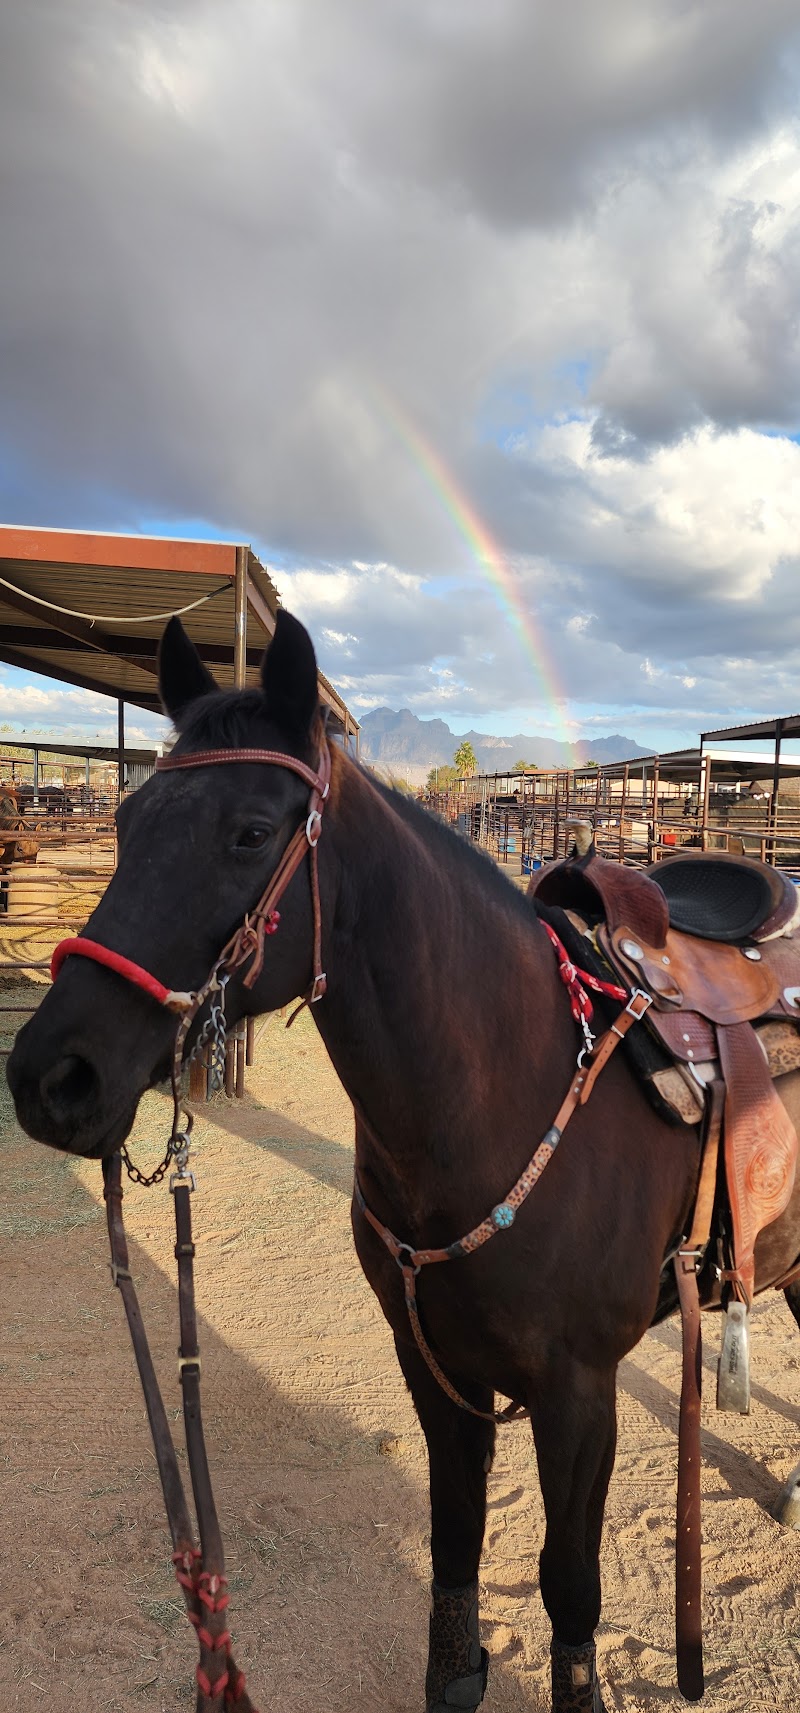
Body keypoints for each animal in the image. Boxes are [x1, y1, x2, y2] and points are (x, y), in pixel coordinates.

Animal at [8, 610, 800, 1713]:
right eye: (125, 826)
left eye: (250, 832)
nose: (51, 1076)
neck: (494, 1092)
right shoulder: (433, 1371)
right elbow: (453, 1554)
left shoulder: (577, 1392)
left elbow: (570, 1586)